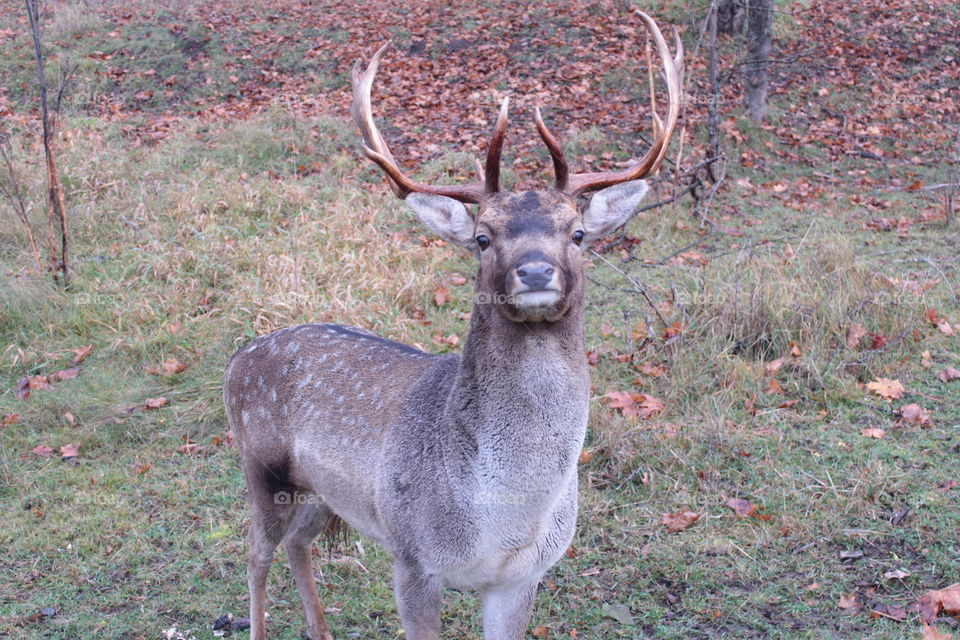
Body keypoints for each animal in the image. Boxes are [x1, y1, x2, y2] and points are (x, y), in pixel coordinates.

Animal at [223, 11, 682, 640]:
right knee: (253, 553)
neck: (504, 514)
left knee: (298, 543)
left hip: (325, 493)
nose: (534, 270)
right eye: (483, 237)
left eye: (578, 233)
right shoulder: (413, 557)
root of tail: (235, 359)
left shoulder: (523, 576)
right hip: (260, 467)